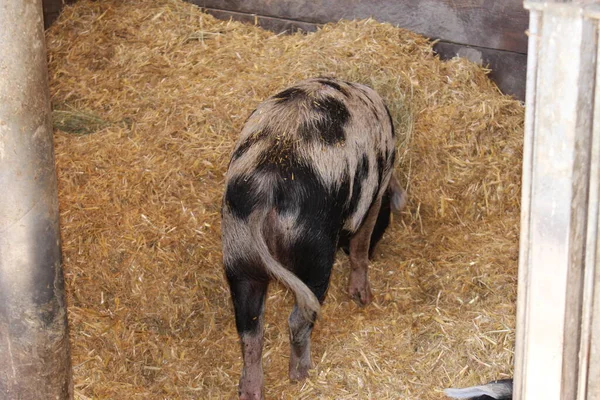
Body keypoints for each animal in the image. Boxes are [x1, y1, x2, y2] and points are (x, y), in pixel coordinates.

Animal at [220, 76, 404, 398]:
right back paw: (302, 373)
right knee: (297, 318)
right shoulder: (373, 197)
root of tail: (267, 191)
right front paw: (363, 297)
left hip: (237, 251)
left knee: (249, 328)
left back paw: (250, 390)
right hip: (313, 250)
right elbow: (360, 243)